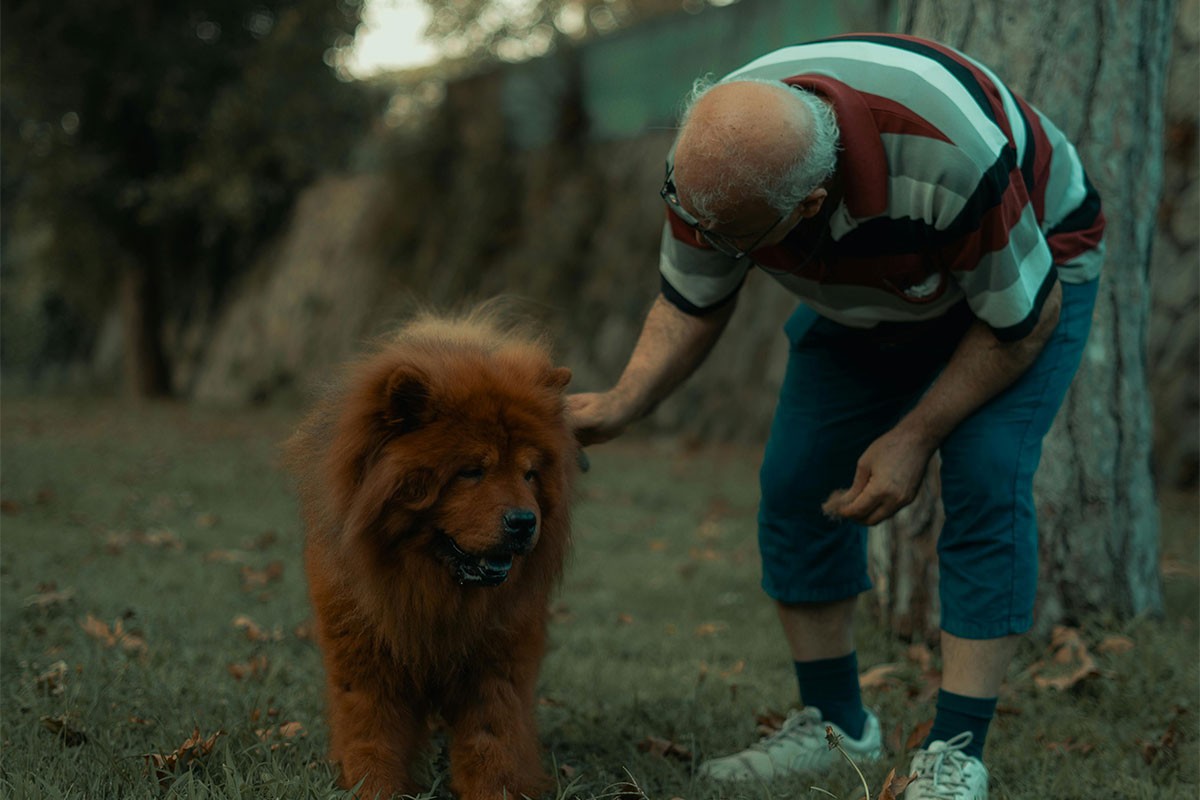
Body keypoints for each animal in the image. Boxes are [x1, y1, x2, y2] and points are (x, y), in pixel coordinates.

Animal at [285, 311, 576, 800]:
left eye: (529, 474)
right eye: (472, 471)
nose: (524, 521)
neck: (434, 592)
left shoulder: (495, 665)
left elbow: (493, 739)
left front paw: (495, 790)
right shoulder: (367, 661)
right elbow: (372, 736)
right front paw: (374, 788)